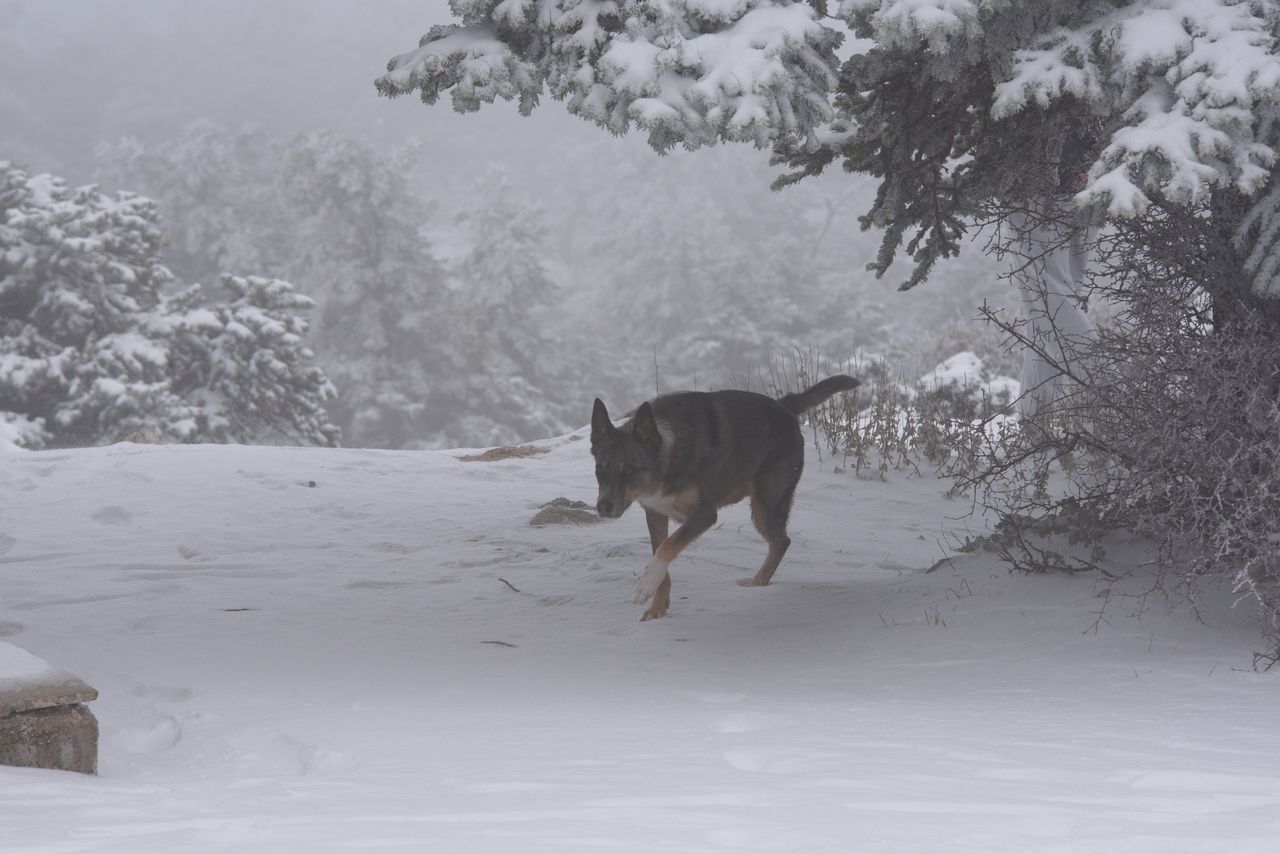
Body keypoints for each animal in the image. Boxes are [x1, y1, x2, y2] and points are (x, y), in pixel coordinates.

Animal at [588, 376, 860, 622]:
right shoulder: (655, 512)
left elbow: (668, 547)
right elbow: (661, 554)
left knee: (782, 541)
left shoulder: (705, 514)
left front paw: (645, 586)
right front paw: (657, 607)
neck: (667, 454)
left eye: (629, 470)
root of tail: (785, 406)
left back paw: (757, 584)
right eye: (600, 470)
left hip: (766, 505)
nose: (603, 506)